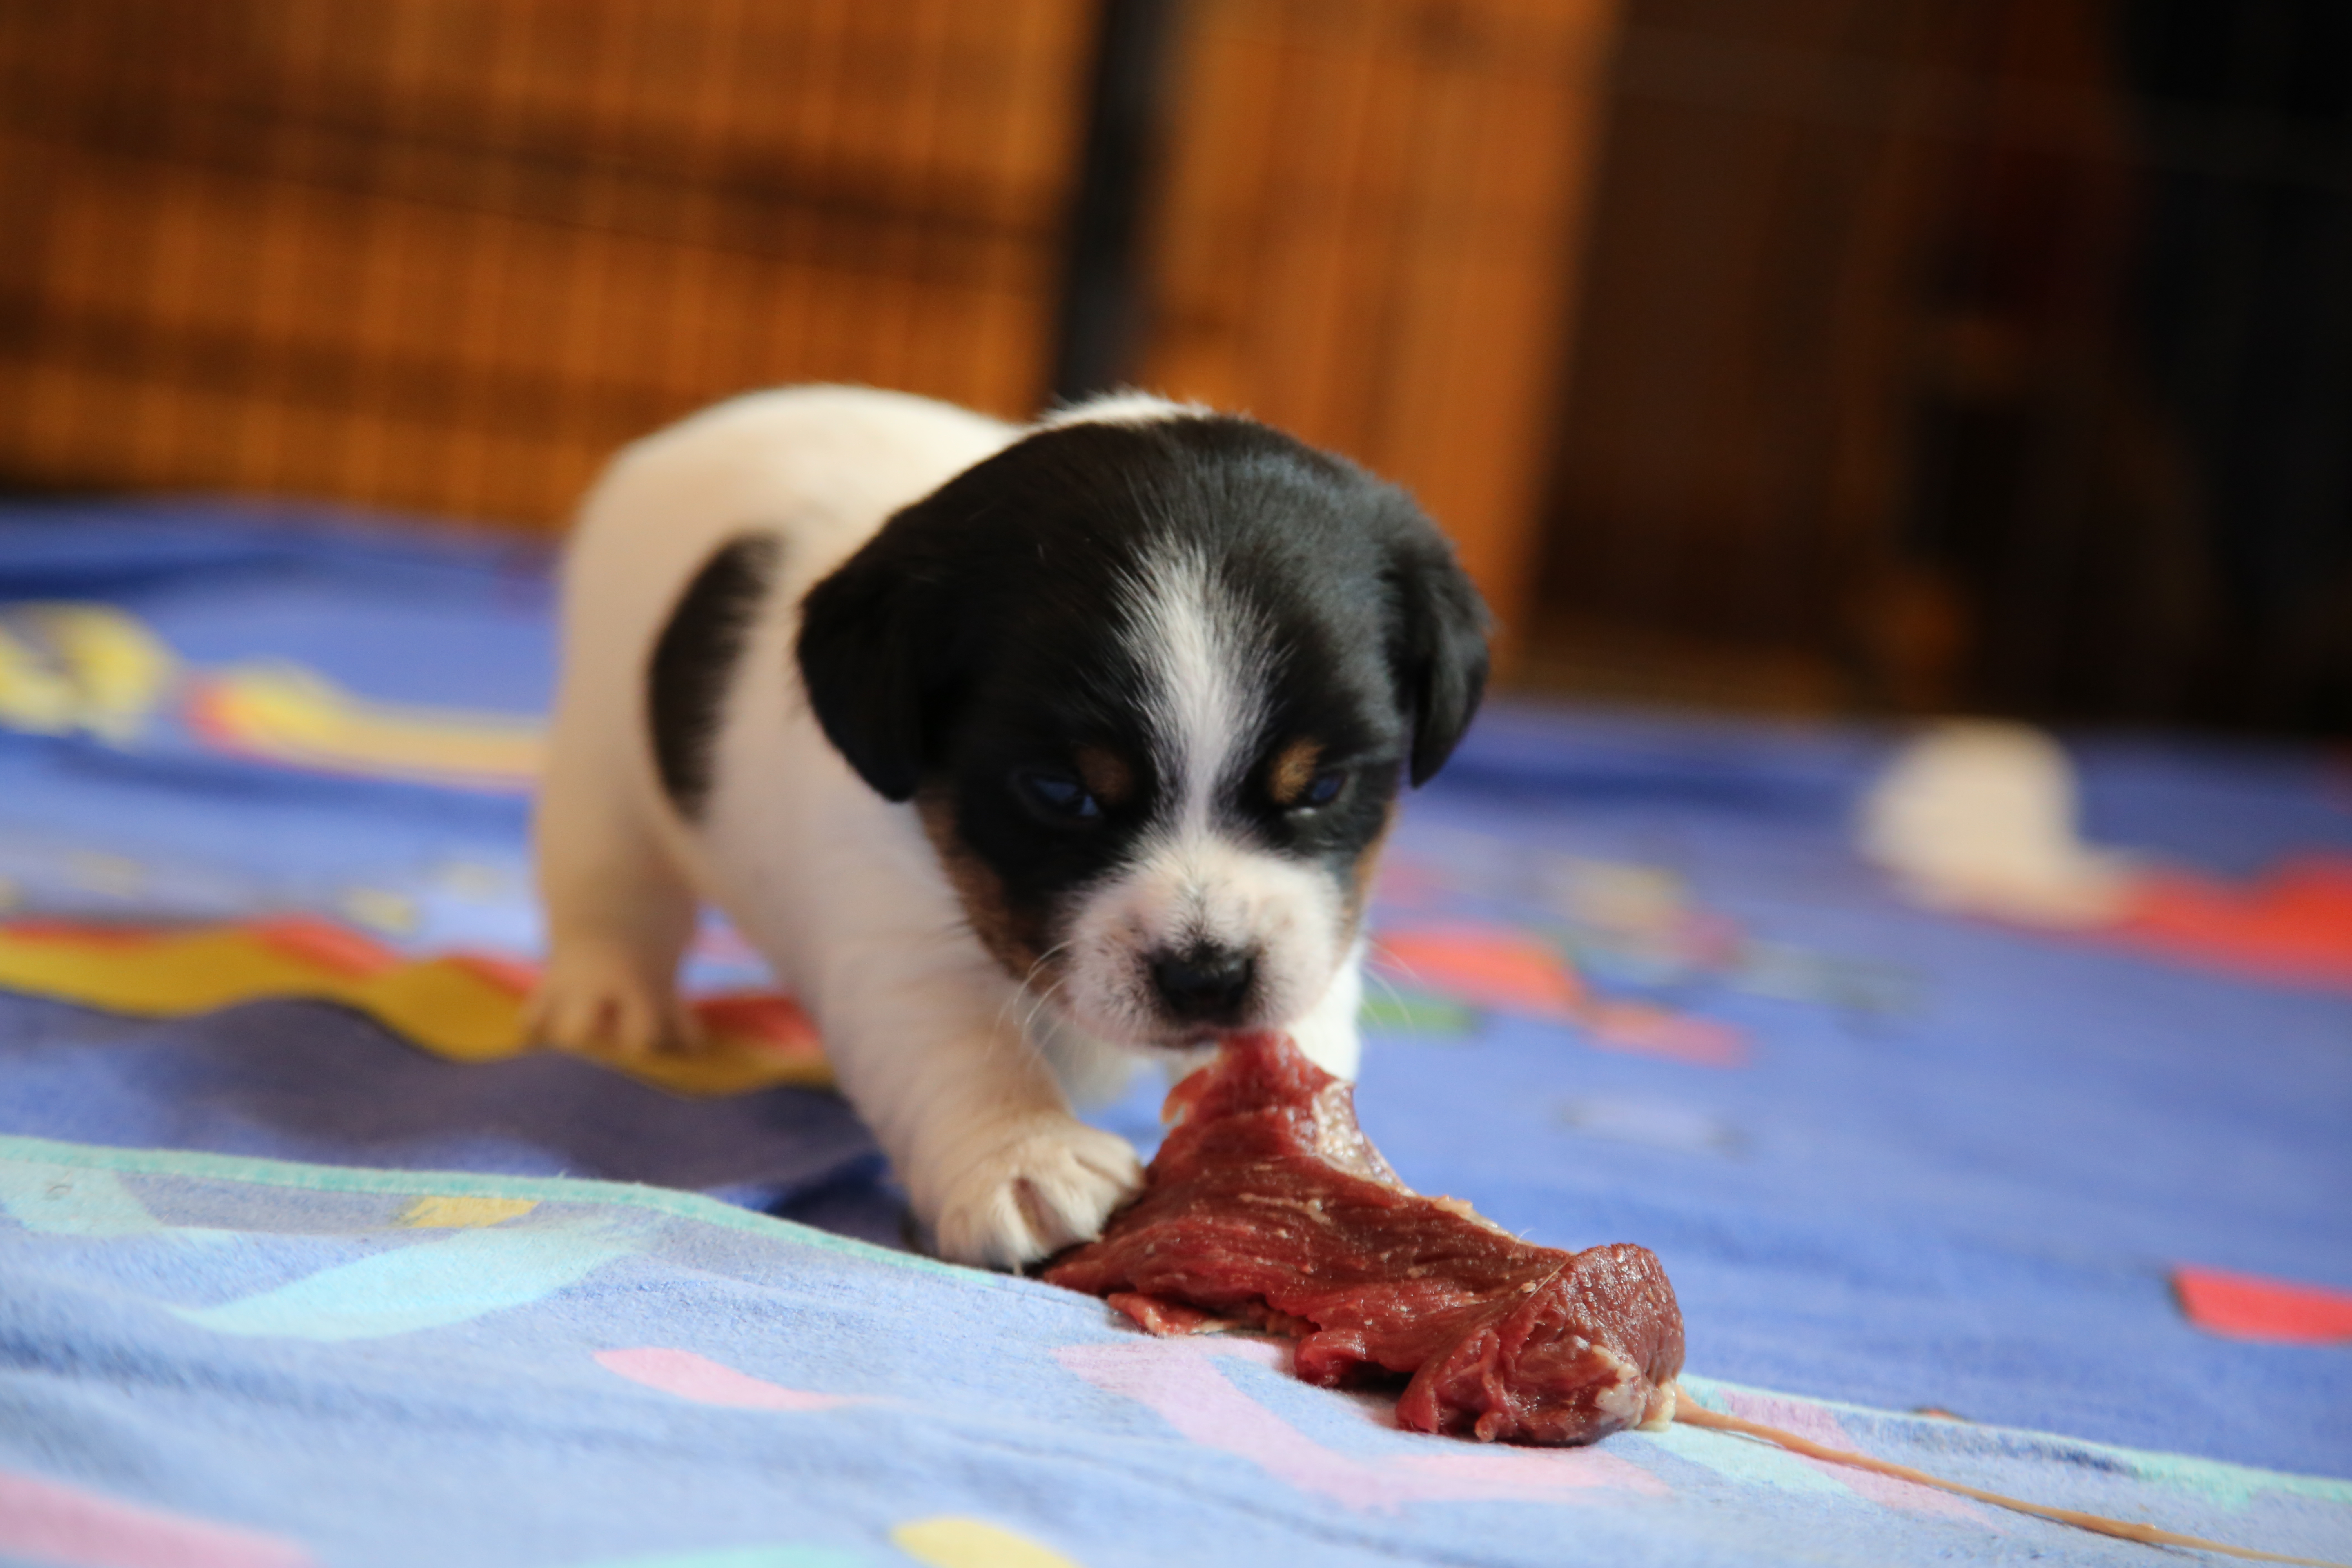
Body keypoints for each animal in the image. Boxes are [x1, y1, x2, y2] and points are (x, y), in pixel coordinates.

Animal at [529, 385, 1490, 1268]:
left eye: (1322, 785)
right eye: (1061, 792)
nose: (1207, 977)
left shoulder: (1320, 921)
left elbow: (1308, 1022)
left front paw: (1323, 1156)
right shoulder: (895, 931)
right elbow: (959, 1045)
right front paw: (1024, 1159)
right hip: (603, 768)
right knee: (610, 891)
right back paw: (611, 1000)